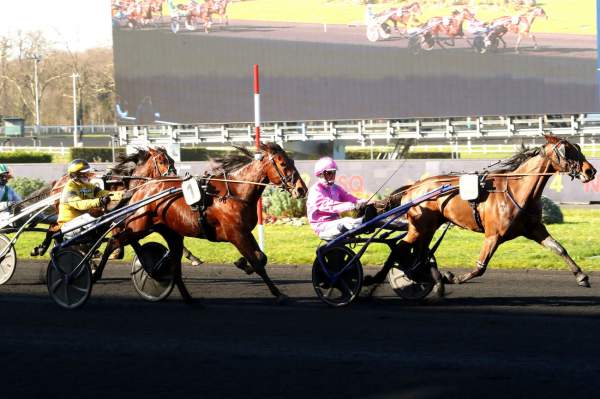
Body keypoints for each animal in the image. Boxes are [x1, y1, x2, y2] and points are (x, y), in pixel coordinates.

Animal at [94, 144, 310, 304]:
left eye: (291, 161)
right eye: (282, 163)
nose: (301, 189)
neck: (236, 192)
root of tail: (143, 188)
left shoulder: (244, 232)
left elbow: (261, 258)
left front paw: (242, 263)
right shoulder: (236, 234)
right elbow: (258, 262)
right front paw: (278, 293)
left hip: (169, 231)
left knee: (173, 264)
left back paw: (182, 292)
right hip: (139, 226)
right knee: (114, 240)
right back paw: (96, 273)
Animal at [366, 136, 596, 298]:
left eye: (578, 147)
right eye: (567, 150)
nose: (590, 171)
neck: (517, 190)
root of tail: (414, 187)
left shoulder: (535, 229)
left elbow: (559, 248)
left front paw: (582, 276)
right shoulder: (493, 235)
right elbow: (480, 267)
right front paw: (454, 277)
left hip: (428, 228)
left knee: (419, 254)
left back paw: (426, 278)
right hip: (418, 227)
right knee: (399, 249)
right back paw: (375, 281)